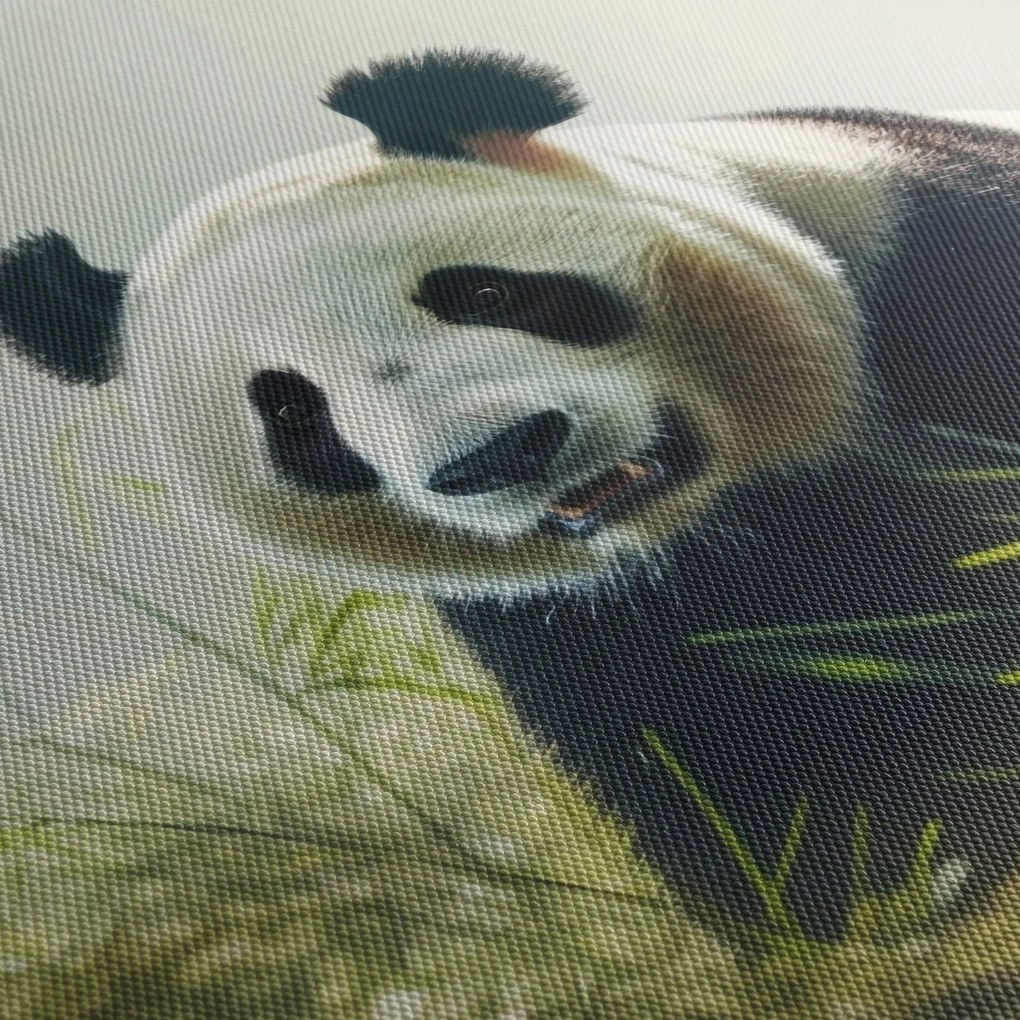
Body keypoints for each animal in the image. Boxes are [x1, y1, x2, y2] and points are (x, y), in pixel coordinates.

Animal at [3, 47, 1020, 948]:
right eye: (296, 415)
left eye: (484, 291)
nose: (498, 455)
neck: (731, 501)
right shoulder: (572, 621)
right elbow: (736, 777)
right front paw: (896, 881)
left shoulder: (929, 257)